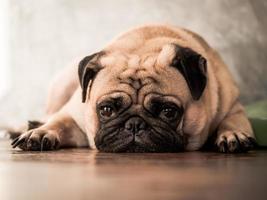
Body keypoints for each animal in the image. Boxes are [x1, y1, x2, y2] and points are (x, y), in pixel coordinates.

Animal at [11, 25, 256, 153]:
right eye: (106, 110)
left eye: (168, 112)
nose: (135, 124)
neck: (144, 47)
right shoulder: (73, 113)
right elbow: (59, 122)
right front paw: (41, 132)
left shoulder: (232, 105)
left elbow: (233, 120)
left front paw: (233, 134)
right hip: (61, 85)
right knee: (49, 113)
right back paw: (30, 125)